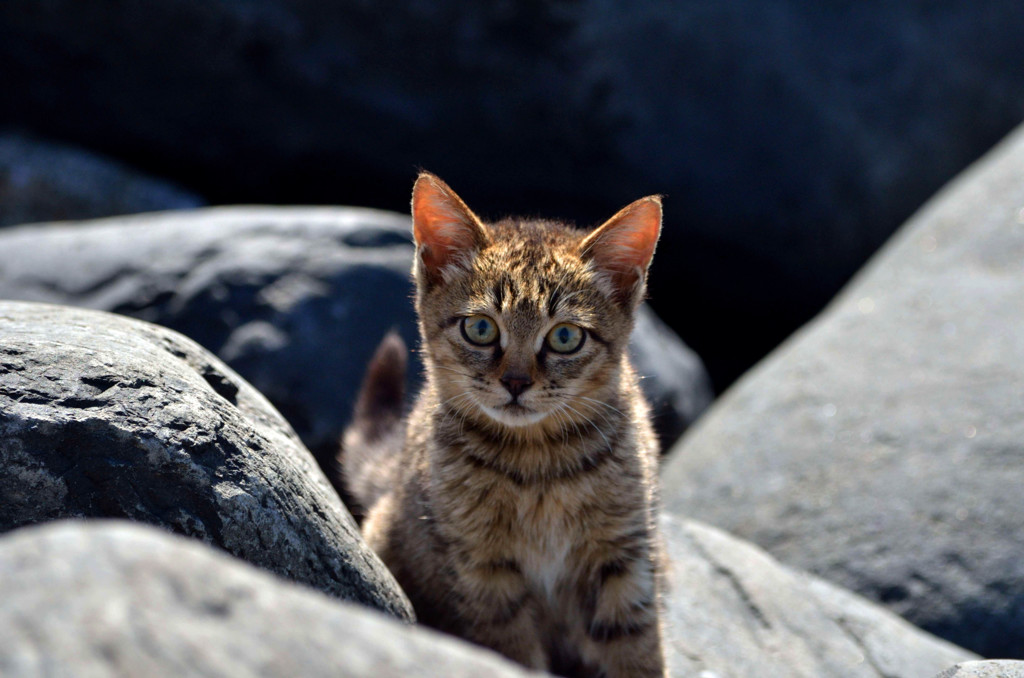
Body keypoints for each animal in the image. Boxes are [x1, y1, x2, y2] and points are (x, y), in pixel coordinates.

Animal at [339, 173, 667, 675]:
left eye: (565, 337)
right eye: (480, 329)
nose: (515, 382)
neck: (539, 462)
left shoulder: (625, 559)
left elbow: (636, 651)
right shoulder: (481, 570)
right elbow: (512, 650)